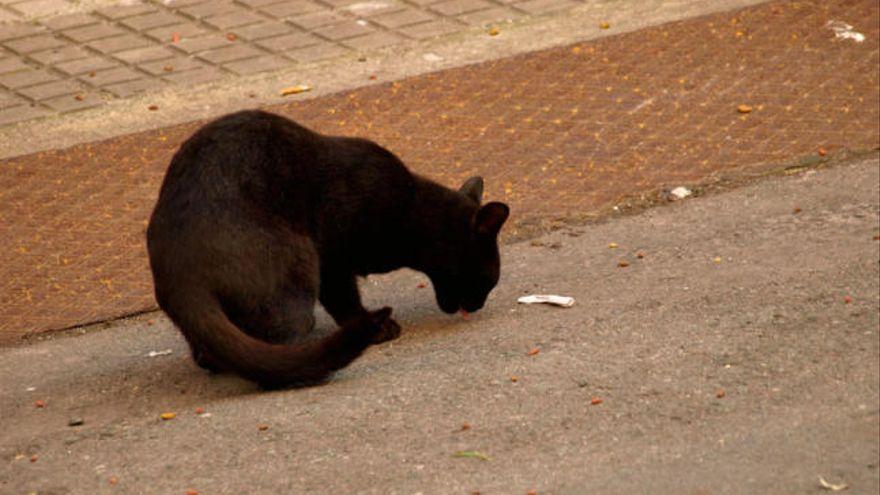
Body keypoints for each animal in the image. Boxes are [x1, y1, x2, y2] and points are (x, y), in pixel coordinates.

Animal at [145, 110, 508, 390]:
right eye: (488, 281)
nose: (477, 306)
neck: (410, 210)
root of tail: (183, 273)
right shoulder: (334, 258)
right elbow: (345, 301)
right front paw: (375, 327)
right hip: (300, 261)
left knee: (211, 352)